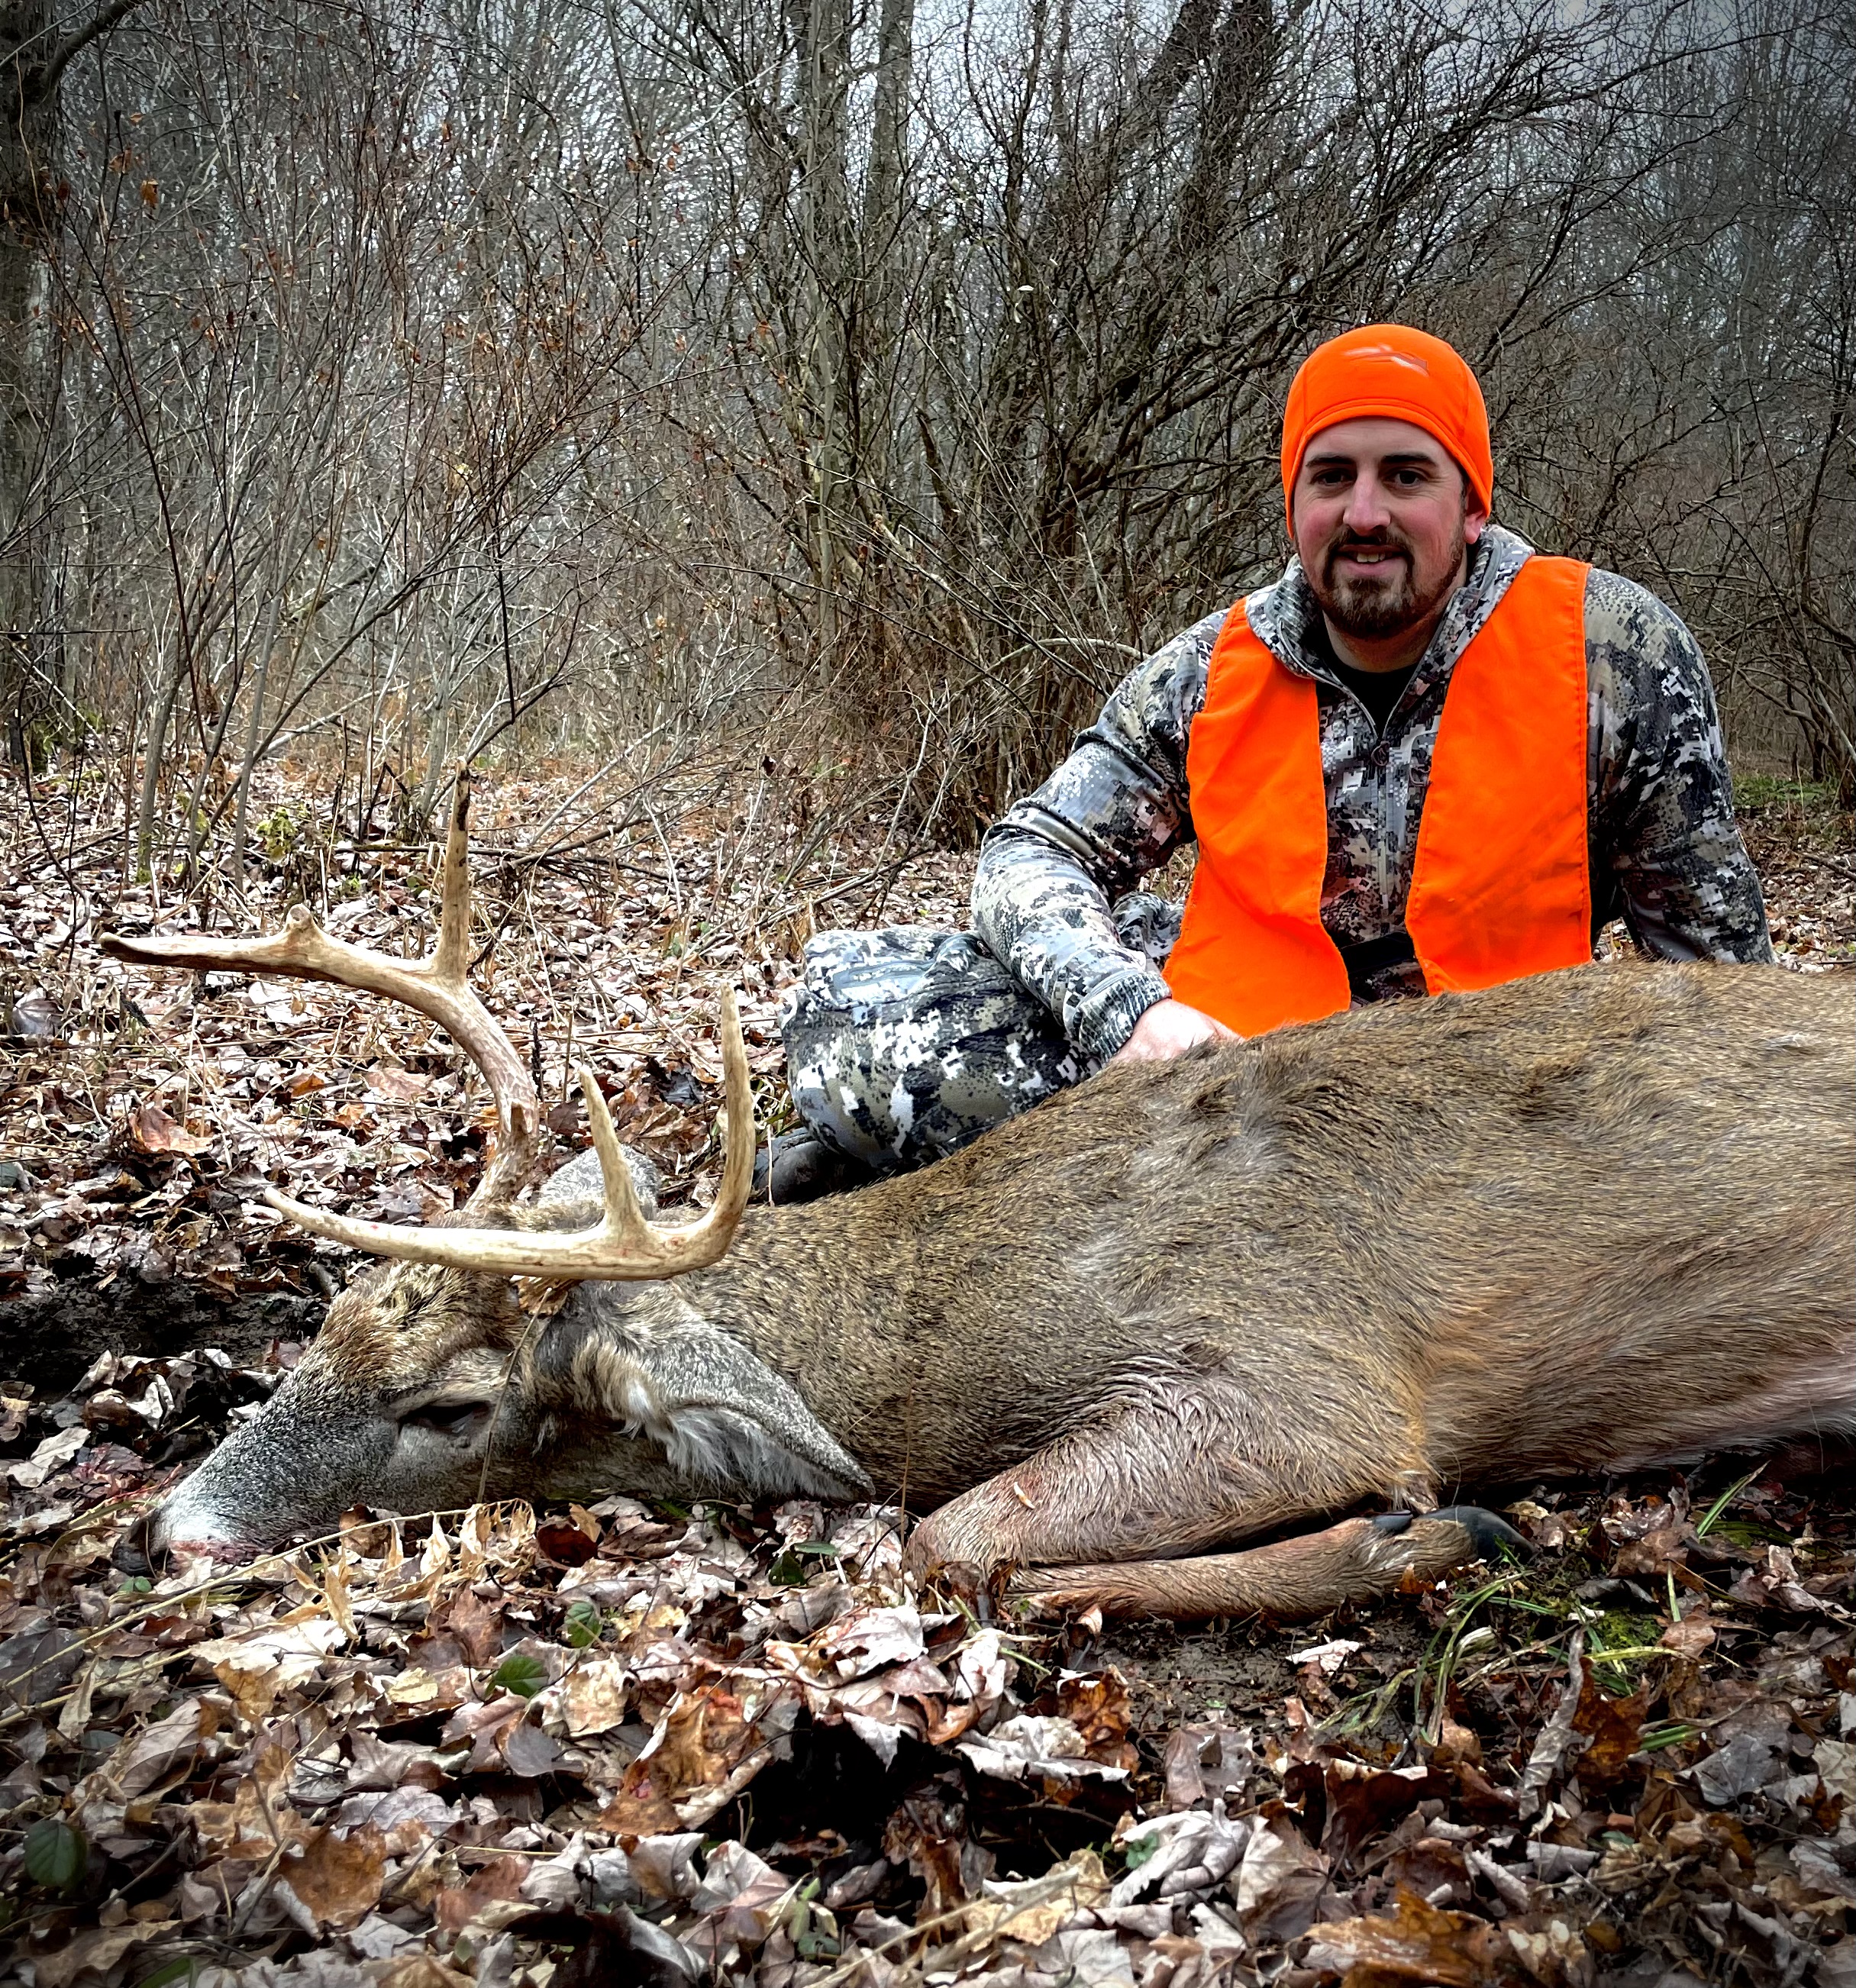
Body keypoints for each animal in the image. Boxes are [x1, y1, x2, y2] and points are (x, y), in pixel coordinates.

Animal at [102, 775, 1855, 1621]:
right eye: (323, 1323)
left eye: (453, 1407)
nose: (169, 1527)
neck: (931, 1323)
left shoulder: (1295, 1365)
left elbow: (953, 1538)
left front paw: (1417, 1536)